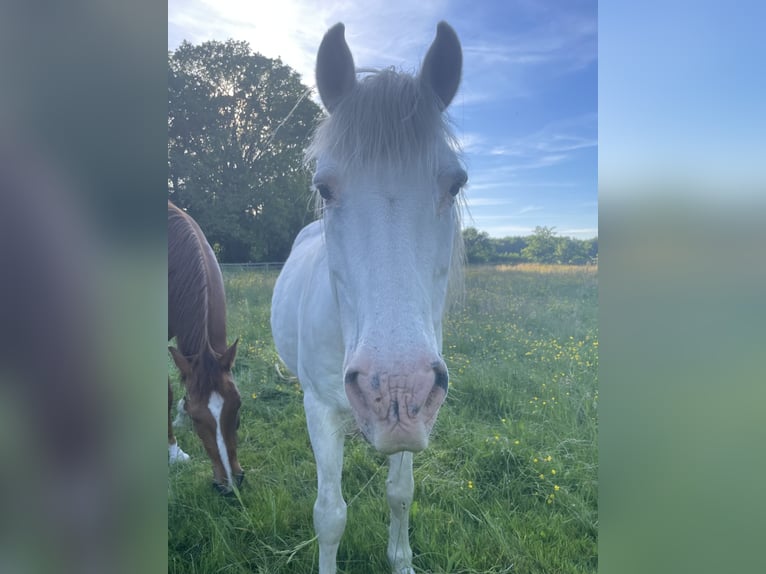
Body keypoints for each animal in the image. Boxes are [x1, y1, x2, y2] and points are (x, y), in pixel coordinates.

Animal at [270, 22, 466, 574]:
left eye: (456, 183)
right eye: (324, 188)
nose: (393, 389)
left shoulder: (415, 415)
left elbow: (401, 494)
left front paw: (401, 561)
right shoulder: (320, 410)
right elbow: (330, 515)